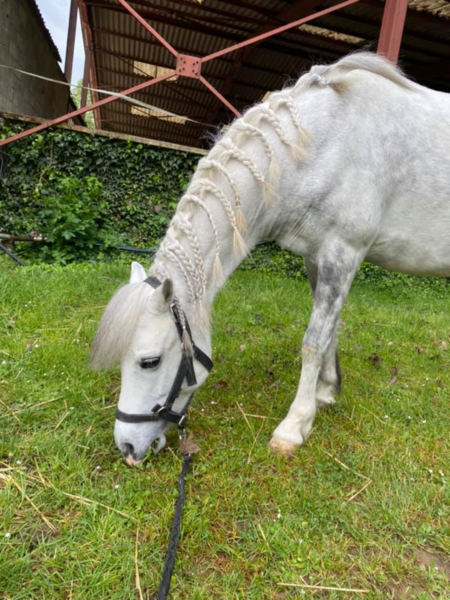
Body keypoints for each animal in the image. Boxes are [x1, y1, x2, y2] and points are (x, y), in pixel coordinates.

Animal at [90, 52, 450, 464]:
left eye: (149, 361)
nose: (127, 448)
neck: (322, 144)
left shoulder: (343, 252)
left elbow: (314, 340)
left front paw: (293, 427)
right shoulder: (318, 258)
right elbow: (330, 330)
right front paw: (326, 392)